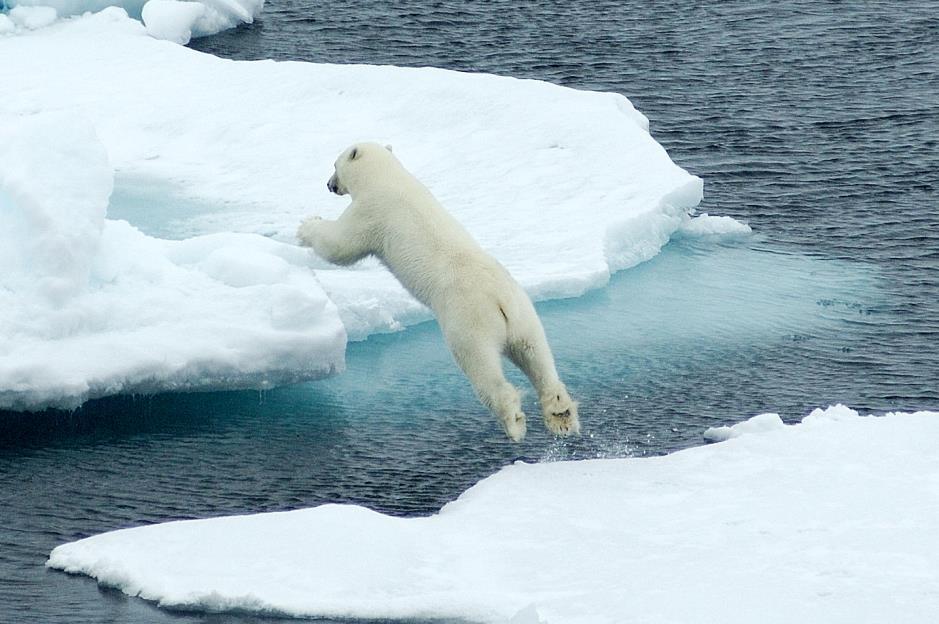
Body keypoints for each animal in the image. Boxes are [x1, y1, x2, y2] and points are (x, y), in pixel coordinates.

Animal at [300, 144, 580, 442]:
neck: (387, 177)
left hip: (467, 320)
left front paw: (307, 225)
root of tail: (500, 303)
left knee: (482, 367)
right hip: (524, 315)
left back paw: (513, 421)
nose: (329, 184)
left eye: (334, 165)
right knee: (537, 356)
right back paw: (561, 414)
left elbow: (339, 245)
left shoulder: (371, 213)